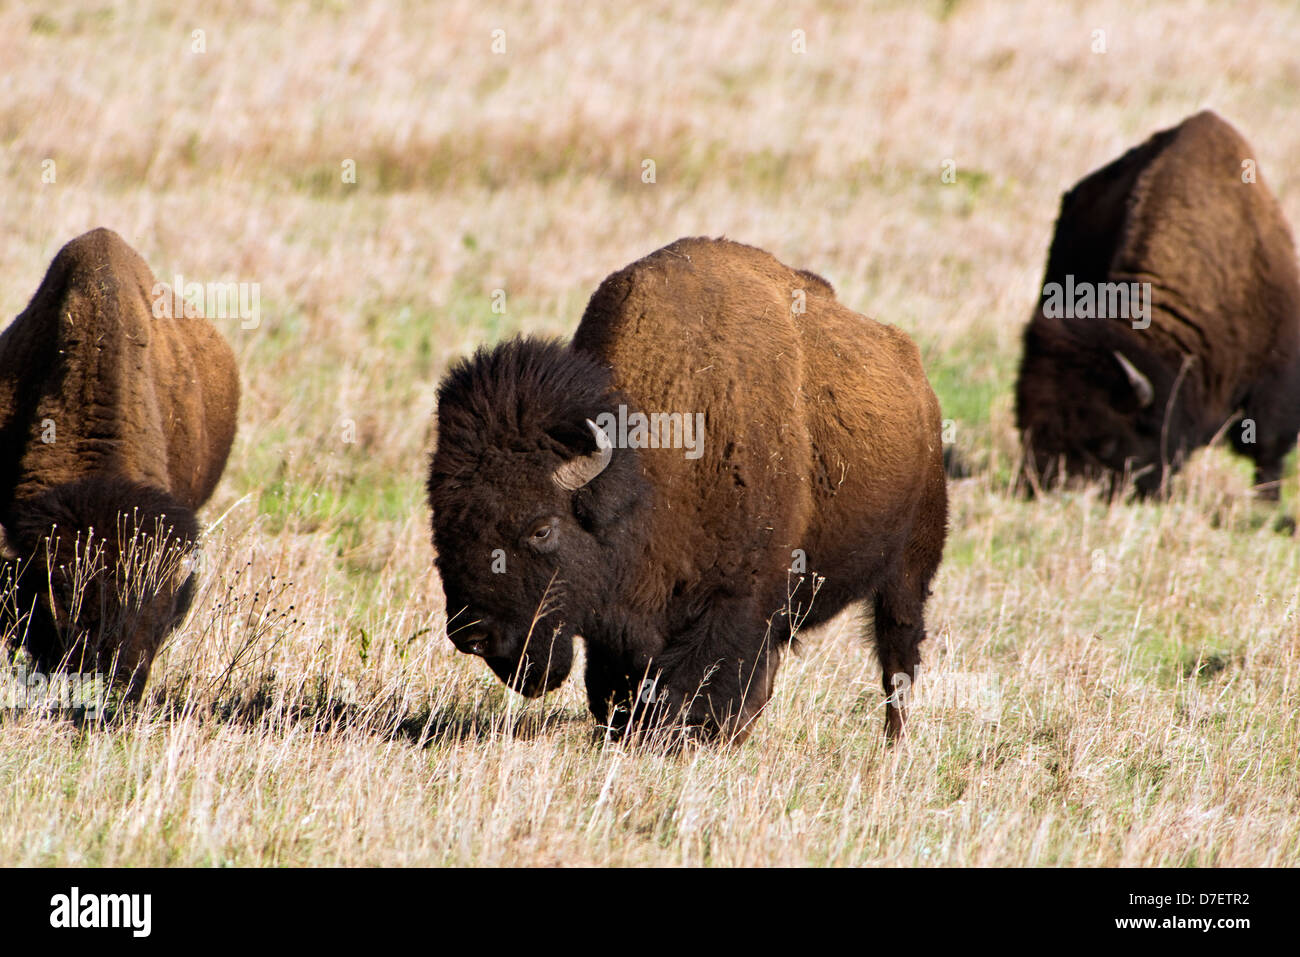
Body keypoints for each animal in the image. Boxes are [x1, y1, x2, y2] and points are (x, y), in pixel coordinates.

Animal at [431, 237, 951, 738]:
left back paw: (893, 743)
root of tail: (918, 378)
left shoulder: (734, 598)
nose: (475, 635)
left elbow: (703, 680)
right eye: (442, 525)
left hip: (909, 569)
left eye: (541, 528)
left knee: (897, 658)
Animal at [1013, 110, 1300, 501]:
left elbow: (1268, 449)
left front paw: (1265, 505)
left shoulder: (1275, 382)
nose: (1046, 490)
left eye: (1105, 443)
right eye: (1024, 428)